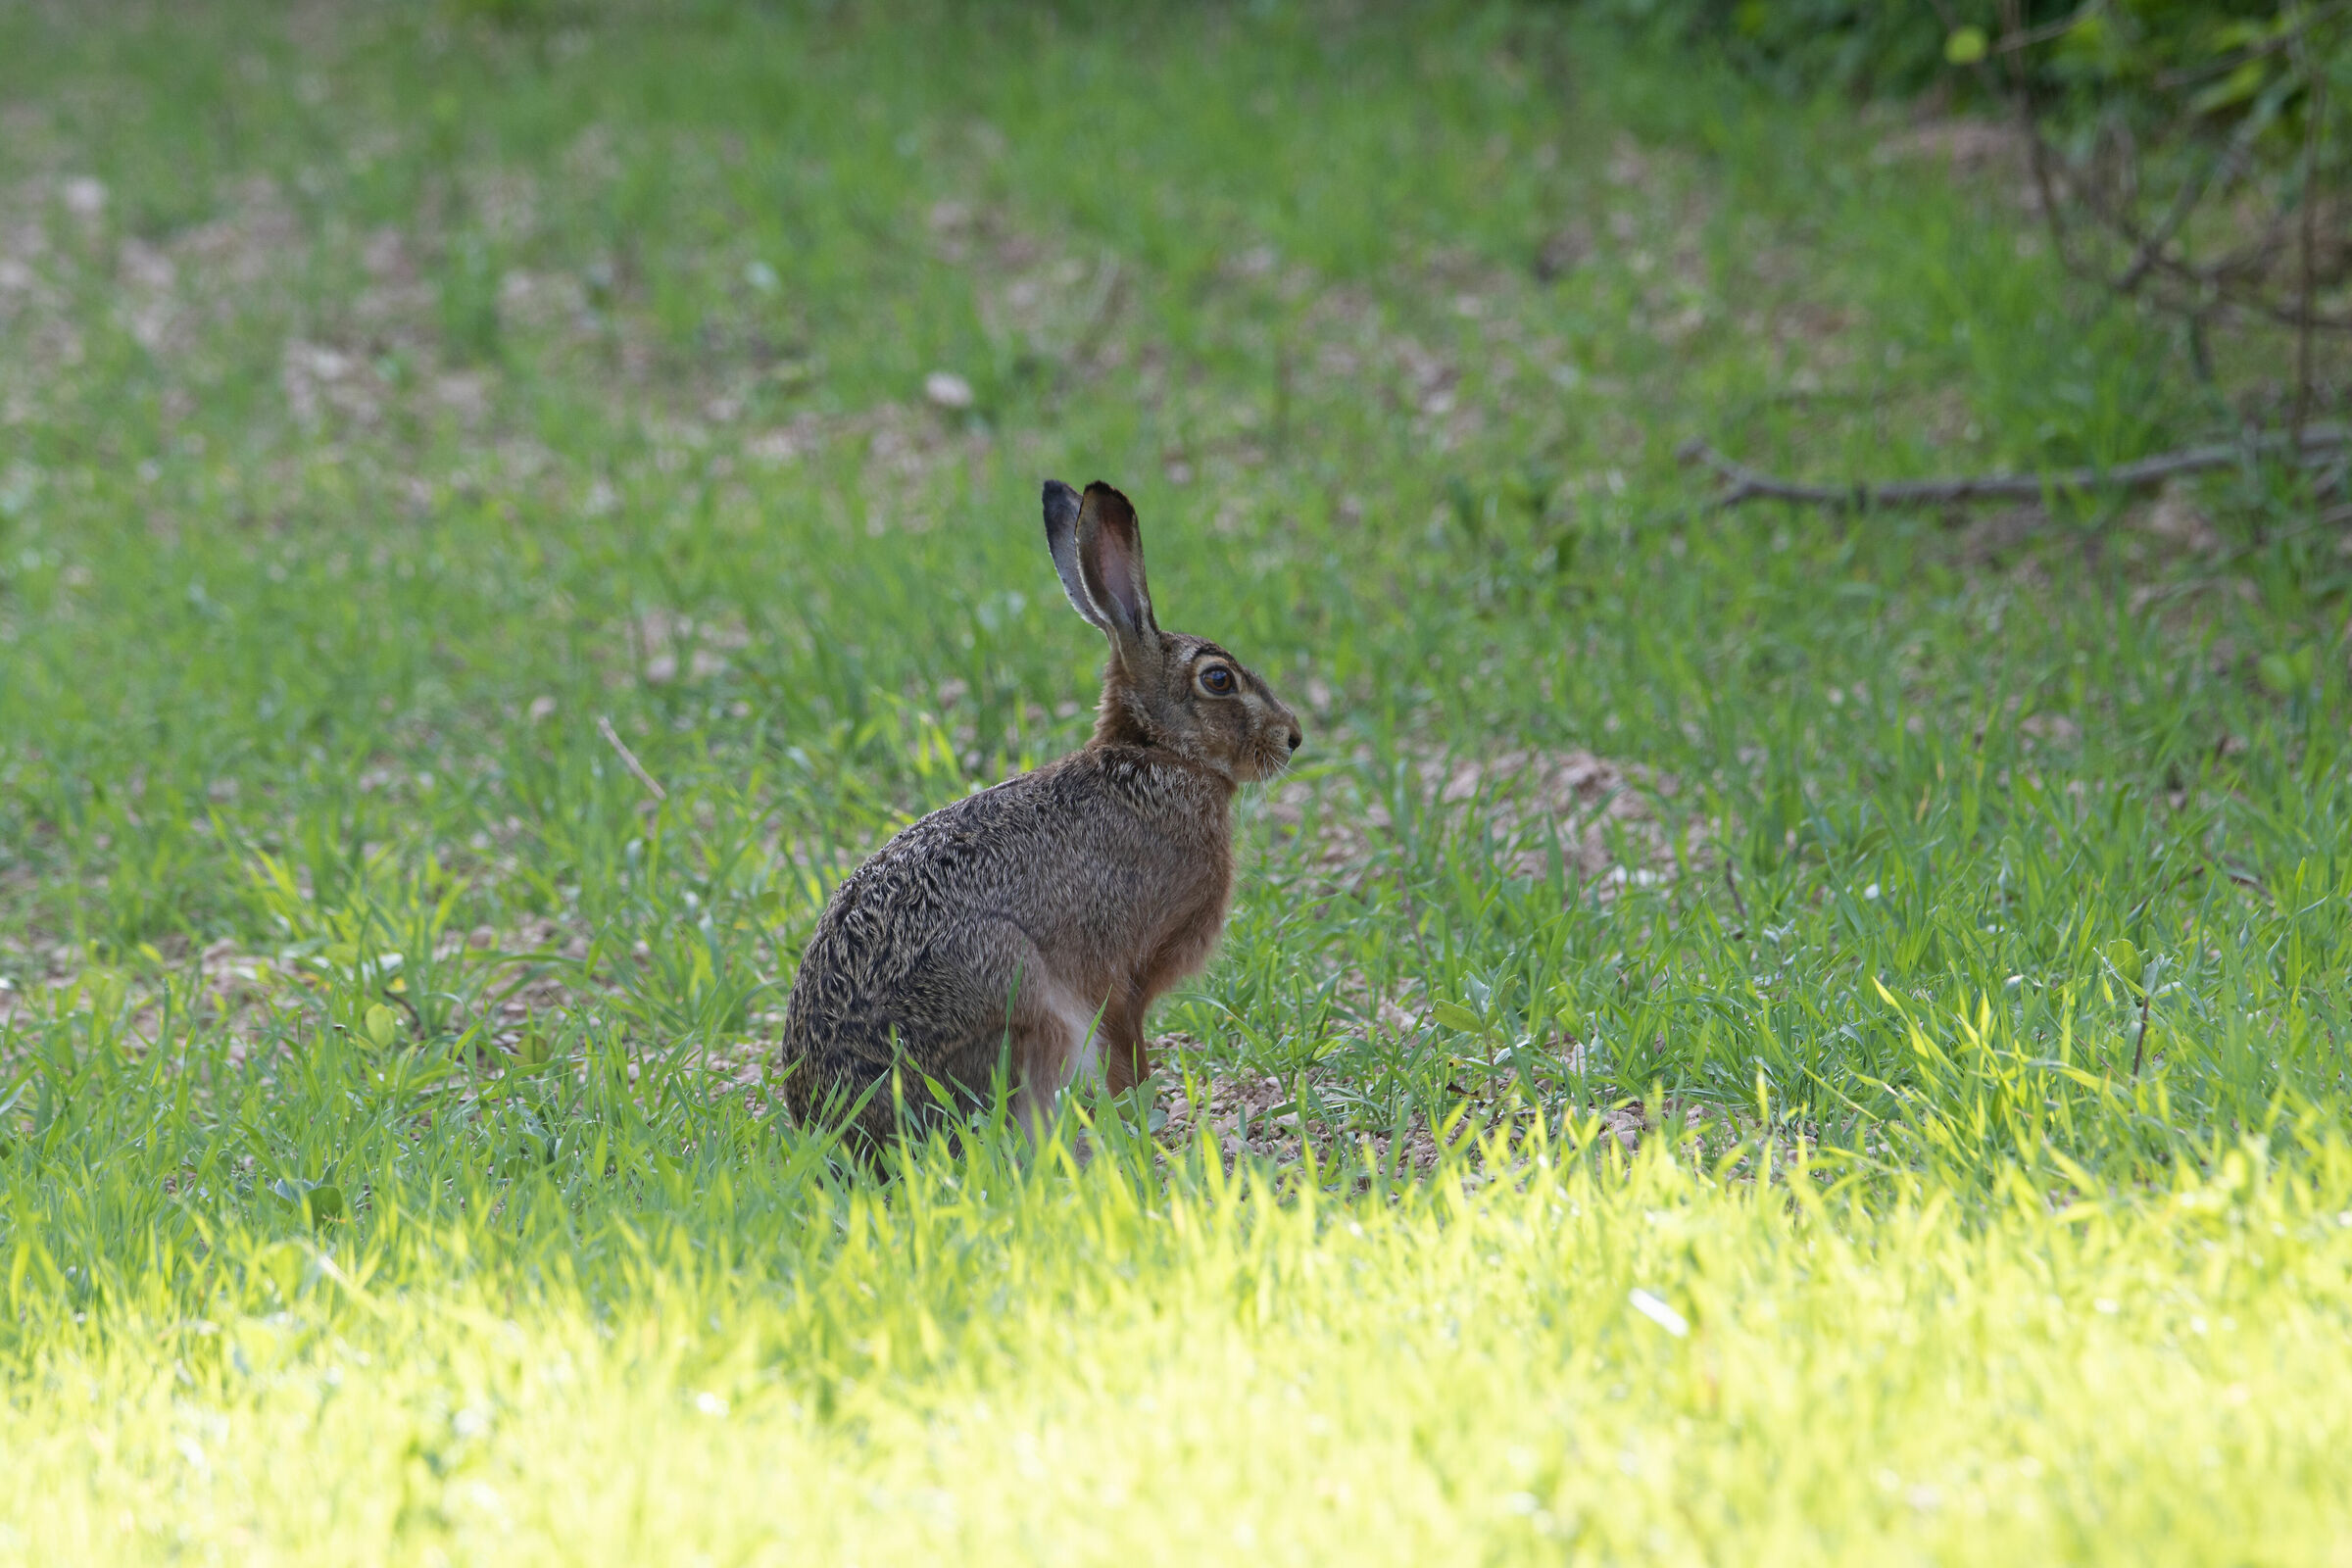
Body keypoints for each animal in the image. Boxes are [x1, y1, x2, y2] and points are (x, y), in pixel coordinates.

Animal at [778, 479, 1303, 1149]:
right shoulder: (1125, 977)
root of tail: (842, 1132)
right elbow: (1127, 1056)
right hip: (1019, 995)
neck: (1157, 756)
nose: (1292, 737)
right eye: (1218, 680)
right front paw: (1141, 1123)